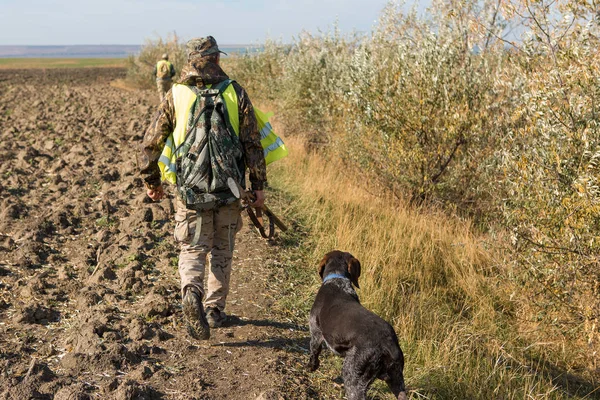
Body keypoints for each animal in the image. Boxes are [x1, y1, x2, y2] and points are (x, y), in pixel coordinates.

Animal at [310, 252, 408, 398]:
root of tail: (389, 344)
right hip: (397, 380)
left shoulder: (316, 332)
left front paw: (311, 367)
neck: (337, 280)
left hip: (353, 377)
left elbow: (314, 352)